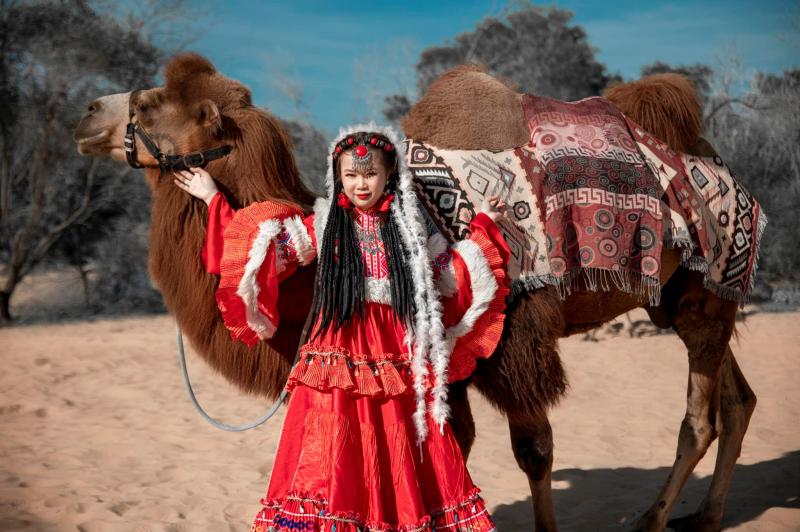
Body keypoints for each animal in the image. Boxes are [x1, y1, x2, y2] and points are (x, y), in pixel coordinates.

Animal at [73, 55, 756, 532]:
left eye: (152, 103)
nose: (87, 113)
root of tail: (720, 163)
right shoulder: (448, 359)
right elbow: (450, 442)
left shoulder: (514, 338)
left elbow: (533, 451)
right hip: (681, 296)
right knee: (737, 399)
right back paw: (707, 516)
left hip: (707, 284)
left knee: (700, 417)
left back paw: (653, 519)